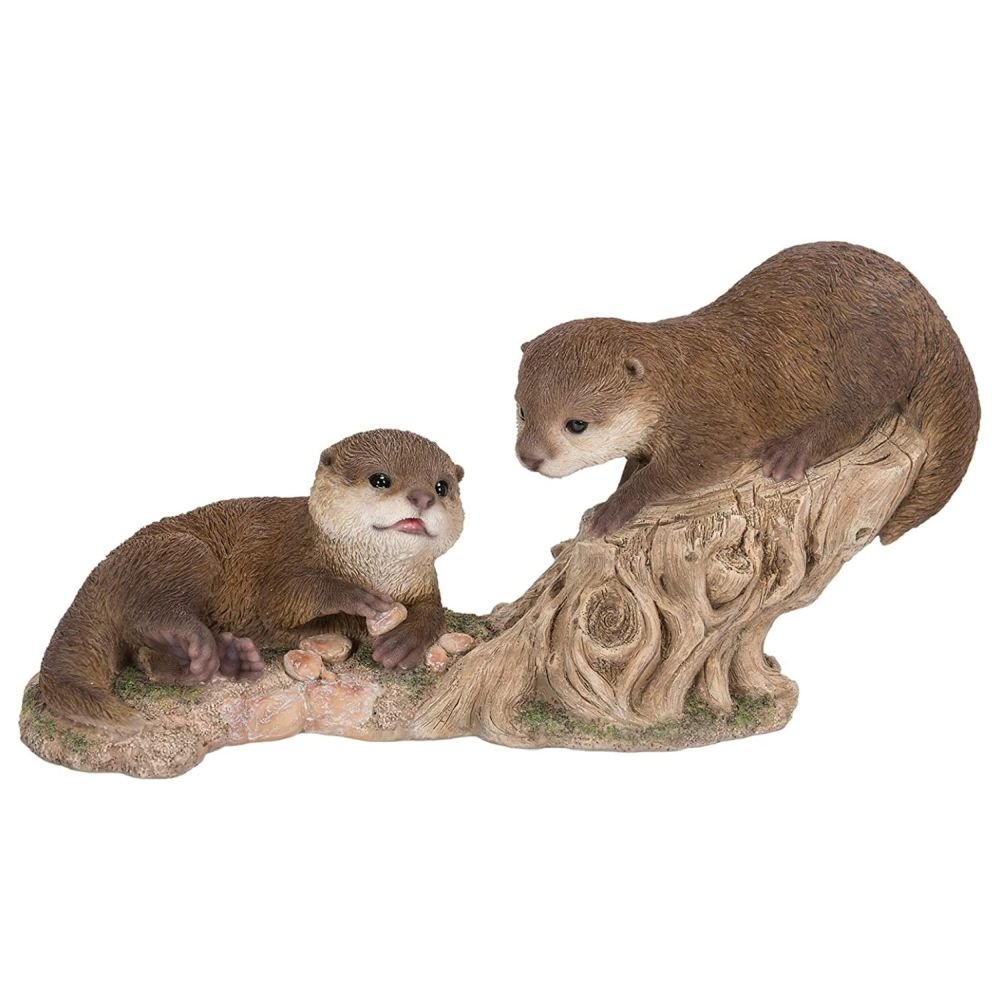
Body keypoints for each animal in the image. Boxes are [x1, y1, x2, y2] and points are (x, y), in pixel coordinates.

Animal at [38, 429, 465, 733]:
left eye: (443, 486)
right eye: (380, 479)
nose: (424, 497)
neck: (377, 571)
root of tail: (100, 573)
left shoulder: (424, 583)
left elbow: (435, 612)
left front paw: (403, 641)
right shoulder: (286, 563)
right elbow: (294, 594)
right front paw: (357, 599)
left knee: (147, 659)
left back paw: (226, 657)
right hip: (180, 551)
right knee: (153, 616)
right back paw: (199, 641)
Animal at [515, 242, 979, 542]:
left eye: (576, 424)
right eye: (521, 411)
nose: (528, 457)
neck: (677, 383)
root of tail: (929, 310)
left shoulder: (714, 421)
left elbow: (672, 473)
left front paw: (609, 511)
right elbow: (636, 464)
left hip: (871, 351)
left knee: (861, 411)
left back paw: (791, 453)